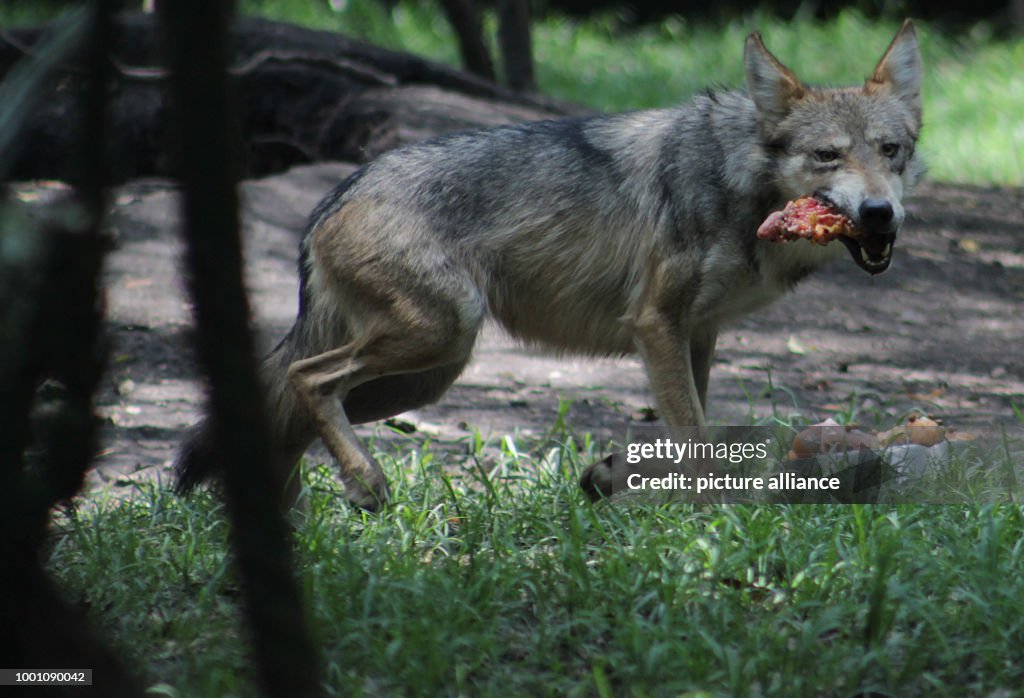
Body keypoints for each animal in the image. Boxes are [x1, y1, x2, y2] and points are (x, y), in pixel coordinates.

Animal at [174, 21, 921, 507]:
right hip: (435, 340)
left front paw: (612, 480)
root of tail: (343, 188)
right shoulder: (657, 325)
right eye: (826, 156)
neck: (738, 182)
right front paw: (715, 516)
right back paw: (362, 484)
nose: (881, 214)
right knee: (305, 378)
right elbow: (695, 438)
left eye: (892, 151)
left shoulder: (696, 335)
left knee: (290, 405)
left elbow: (686, 433)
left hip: (427, 375)